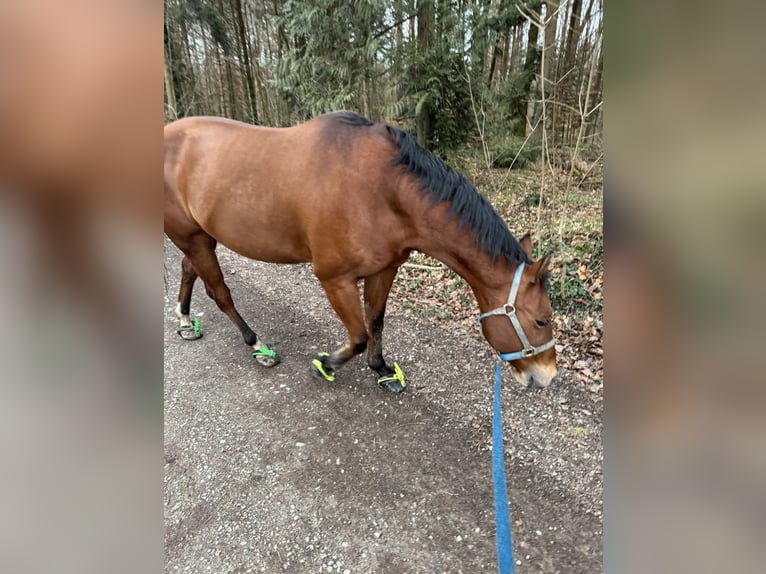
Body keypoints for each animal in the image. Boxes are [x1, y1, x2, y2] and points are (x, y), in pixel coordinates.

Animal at [164, 111, 557, 393]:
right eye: (542, 320)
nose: (546, 376)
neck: (383, 191)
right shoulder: (334, 279)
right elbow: (357, 335)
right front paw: (327, 363)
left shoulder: (384, 270)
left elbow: (376, 322)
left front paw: (382, 369)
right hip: (194, 238)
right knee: (220, 292)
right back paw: (256, 345)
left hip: (200, 236)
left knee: (188, 271)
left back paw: (185, 321)